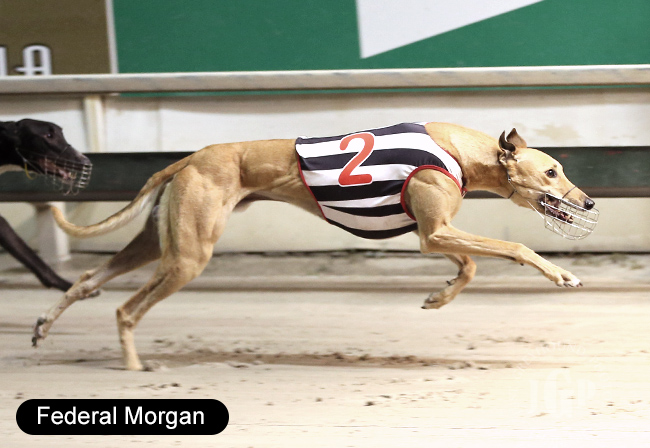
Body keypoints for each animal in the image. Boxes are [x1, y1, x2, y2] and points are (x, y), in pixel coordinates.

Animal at [32, 122, 597, 371]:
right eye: (552, 171)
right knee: (126, 308)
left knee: (88, 279)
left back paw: (42, 326)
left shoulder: (431, 232)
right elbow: (516, 248)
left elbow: (469, 269)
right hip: (188, 257)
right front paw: (561, 274)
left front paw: (437, 297)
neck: (457, 149)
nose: (589, 201)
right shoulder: (435, 230)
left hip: (157, 244)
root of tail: (189, 158)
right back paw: (134, 367)